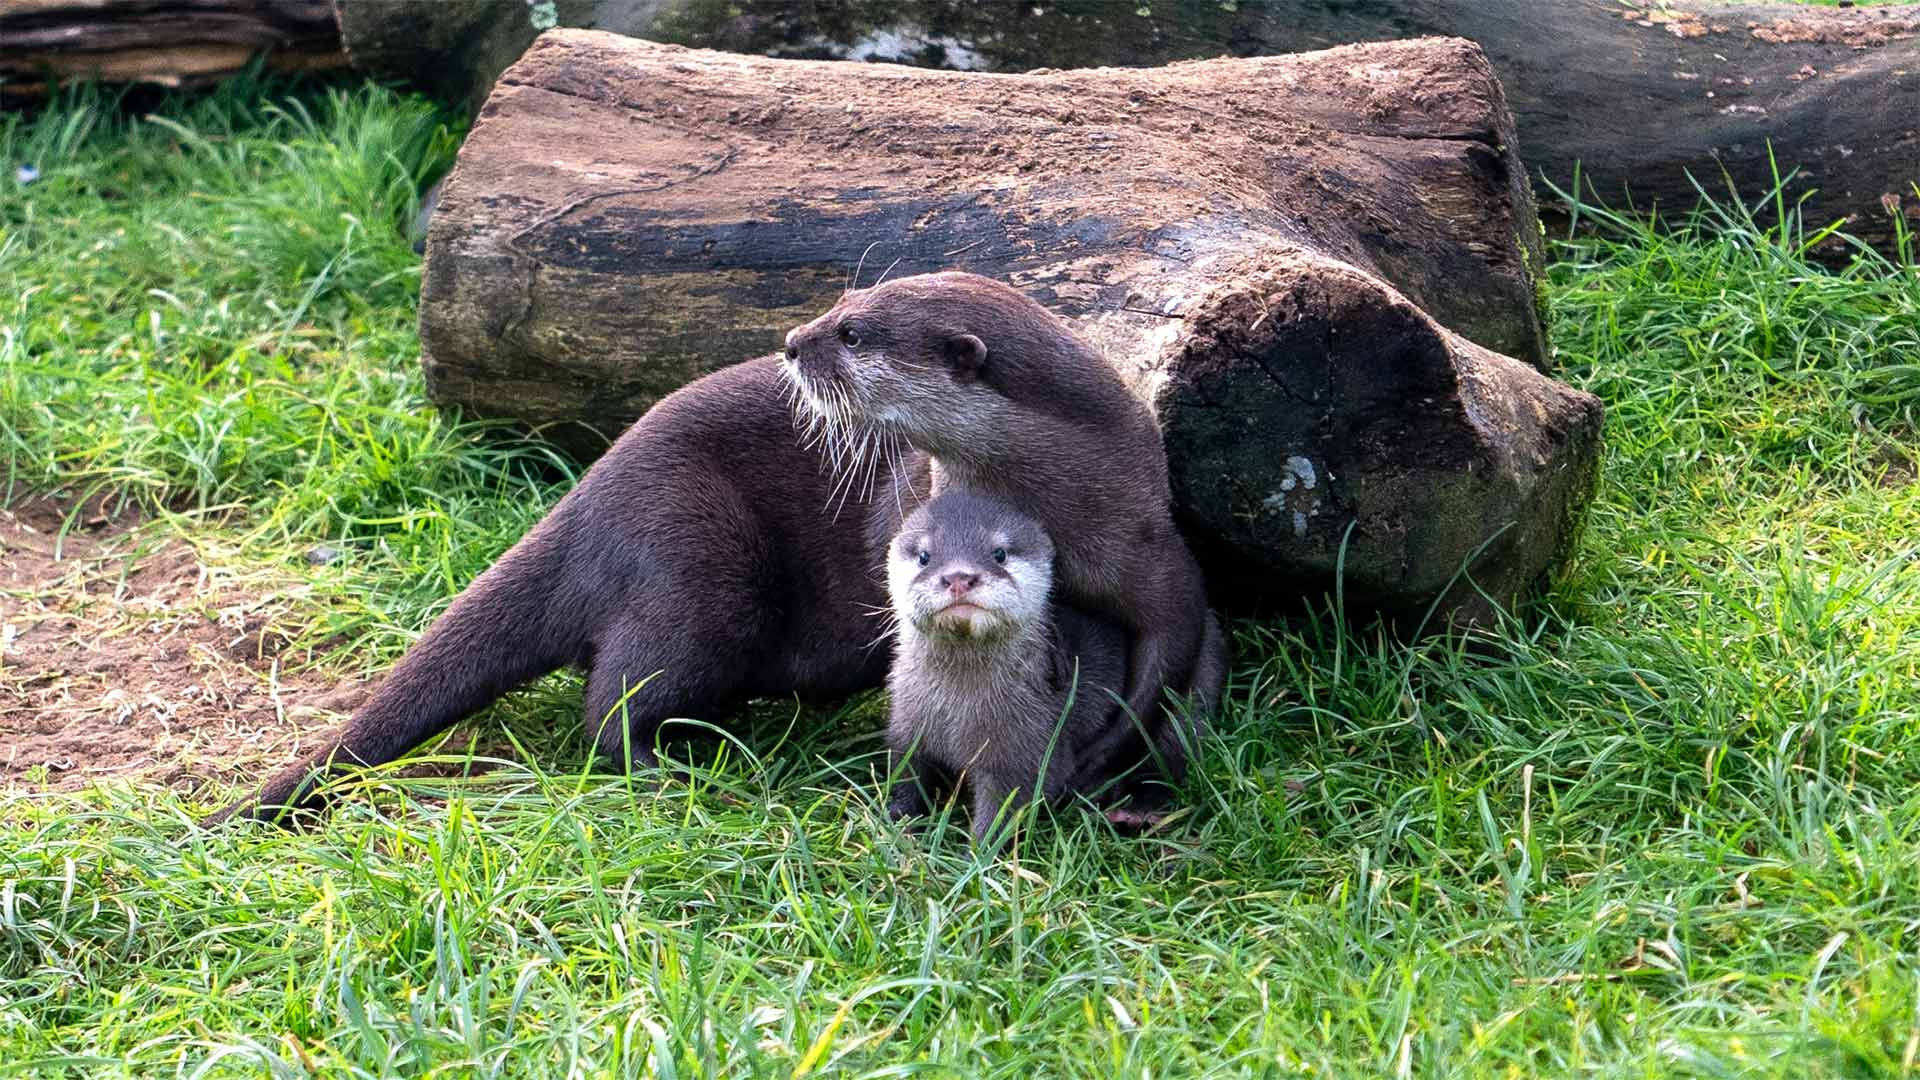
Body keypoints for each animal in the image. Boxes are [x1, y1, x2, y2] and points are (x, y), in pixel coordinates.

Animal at [783, 272, 1221, 787]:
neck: (1078, 500)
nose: (791, 343)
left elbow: (1169, 656)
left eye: (851, 334)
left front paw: (1099, 757)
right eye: (842, 299)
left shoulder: (1150, 544)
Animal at [883, 488, 1136, 841]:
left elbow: (1007, 805)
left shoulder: (1025, 749)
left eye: (999, 553)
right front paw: (897, 823)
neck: (956, 714)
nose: (959, 576)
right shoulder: (907, 724)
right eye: (924, 556)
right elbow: (906, 773)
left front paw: (979, 848)